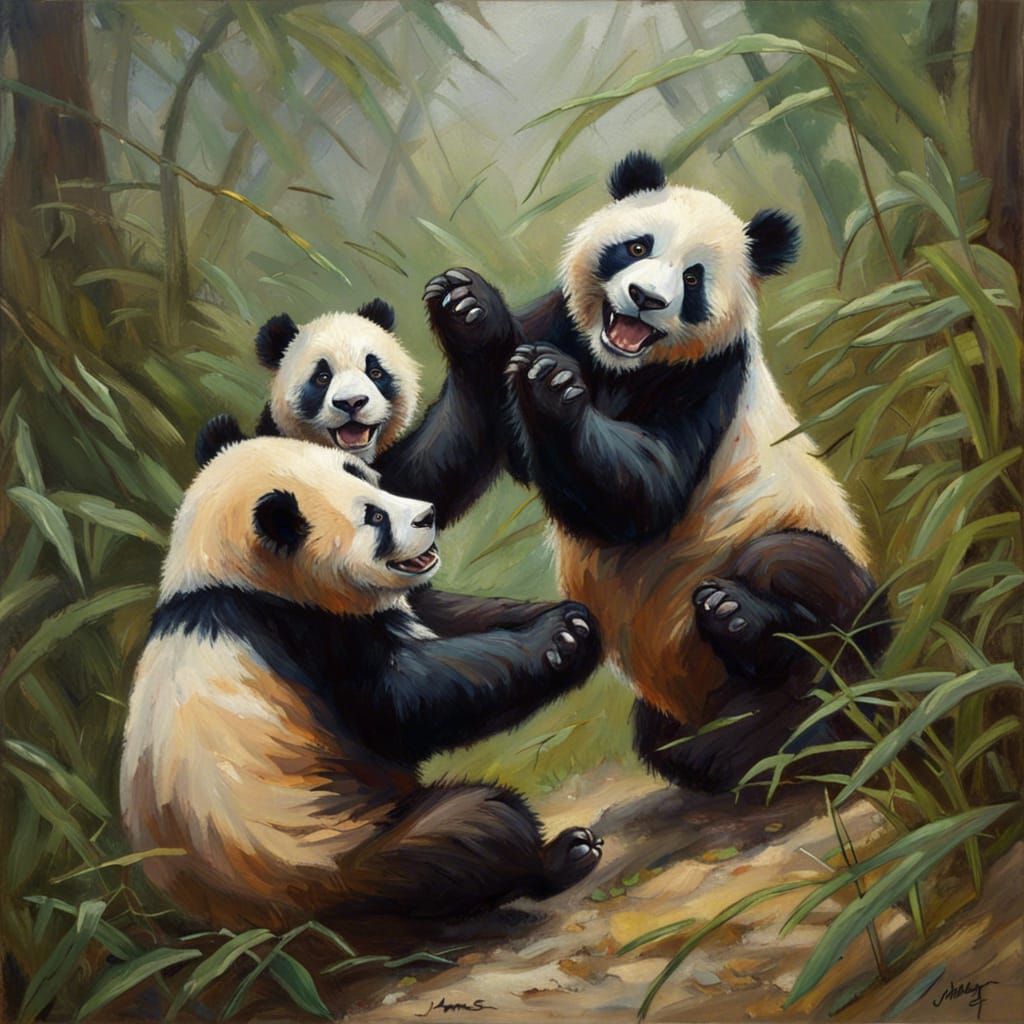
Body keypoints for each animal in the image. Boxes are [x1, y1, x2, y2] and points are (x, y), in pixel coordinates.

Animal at [120, 436, 603, 930]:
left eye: (362, 474)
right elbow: (404, 703)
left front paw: (569, 616)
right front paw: (561, 639)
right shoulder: (306, 635)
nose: (428, 514)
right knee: (474, 829)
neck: (223, 576)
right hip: (333, 853)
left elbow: (440, 613)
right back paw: (562, 856)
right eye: (374, 518)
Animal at [436, 152, 888, 793]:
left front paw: (552, 386)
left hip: (817, 574)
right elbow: (473, 434)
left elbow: (646, 495)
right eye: (636, 246)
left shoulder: (707, 377)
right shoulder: (563, 321)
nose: (645, 298)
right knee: (674, 740)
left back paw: (754, 644)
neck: (621, 364)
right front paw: (468, 311)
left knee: (806, 584)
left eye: (693, 280)